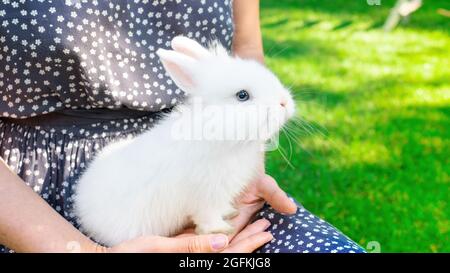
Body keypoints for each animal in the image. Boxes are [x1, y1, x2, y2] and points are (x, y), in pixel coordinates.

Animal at [73, 35, 296, 245]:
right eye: (242, 95)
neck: (215, 131)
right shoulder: (206, 196)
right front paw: (221, 230)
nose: (285, 102)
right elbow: (208, 217)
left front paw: (230, 213)